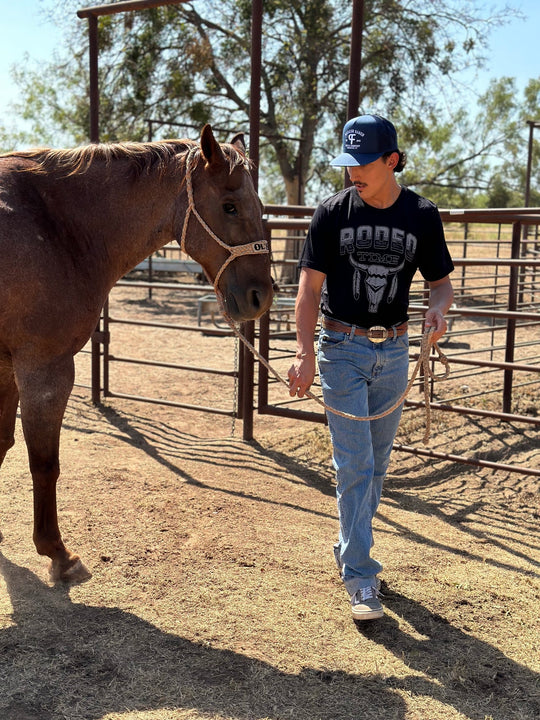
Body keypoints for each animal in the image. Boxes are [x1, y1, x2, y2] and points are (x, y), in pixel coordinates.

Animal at [0, 125, 272, 584]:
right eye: (230, 206)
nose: (261, 296)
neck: (54, 226)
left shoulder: (7, 369)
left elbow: (2, 443)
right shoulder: (44, 370)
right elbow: (44, 462)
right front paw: (57, 553)